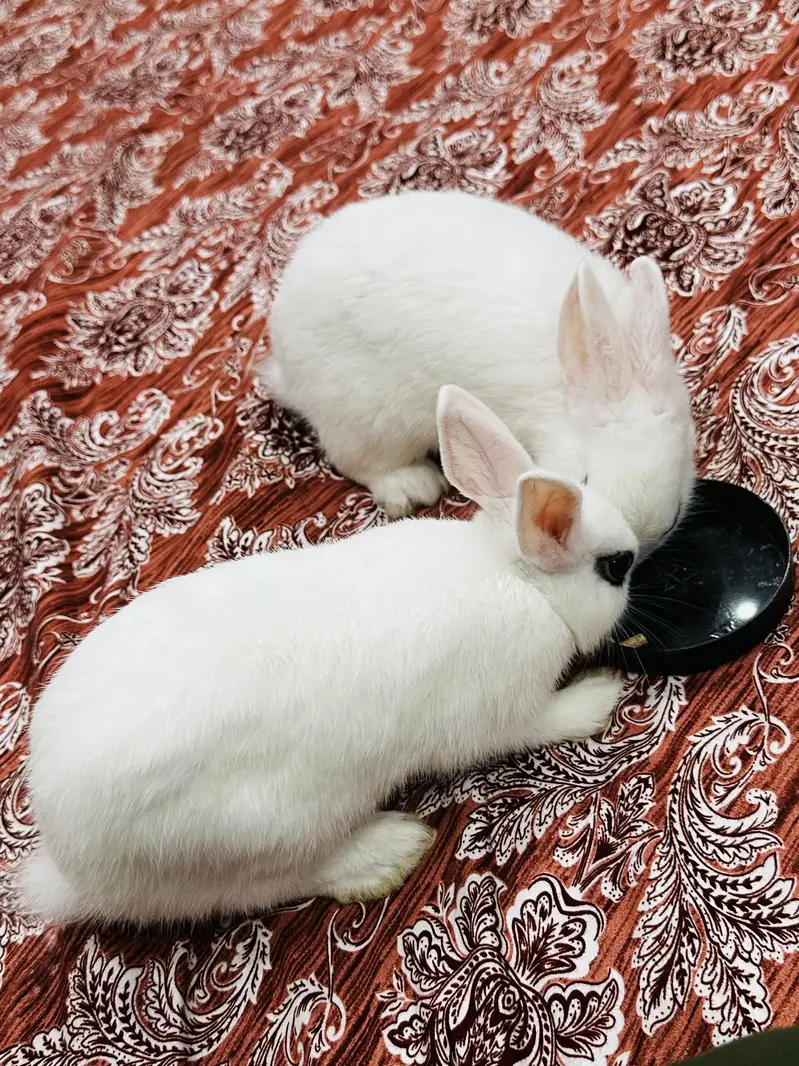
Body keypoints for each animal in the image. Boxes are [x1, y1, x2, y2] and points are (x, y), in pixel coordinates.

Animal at [17, 385, 638, 927]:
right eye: (616, 567)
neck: (517, 576)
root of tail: (73, 868)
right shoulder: (501, 711)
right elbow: (543, 723)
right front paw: (600, 695)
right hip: (258, 834)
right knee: (269, 884)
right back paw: (389, 851)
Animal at [262, 189, 696, 555]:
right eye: (585, 481)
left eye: (675, 513)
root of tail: (285, 356)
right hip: (368, 418)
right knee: (358, 462)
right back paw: (413, 486)